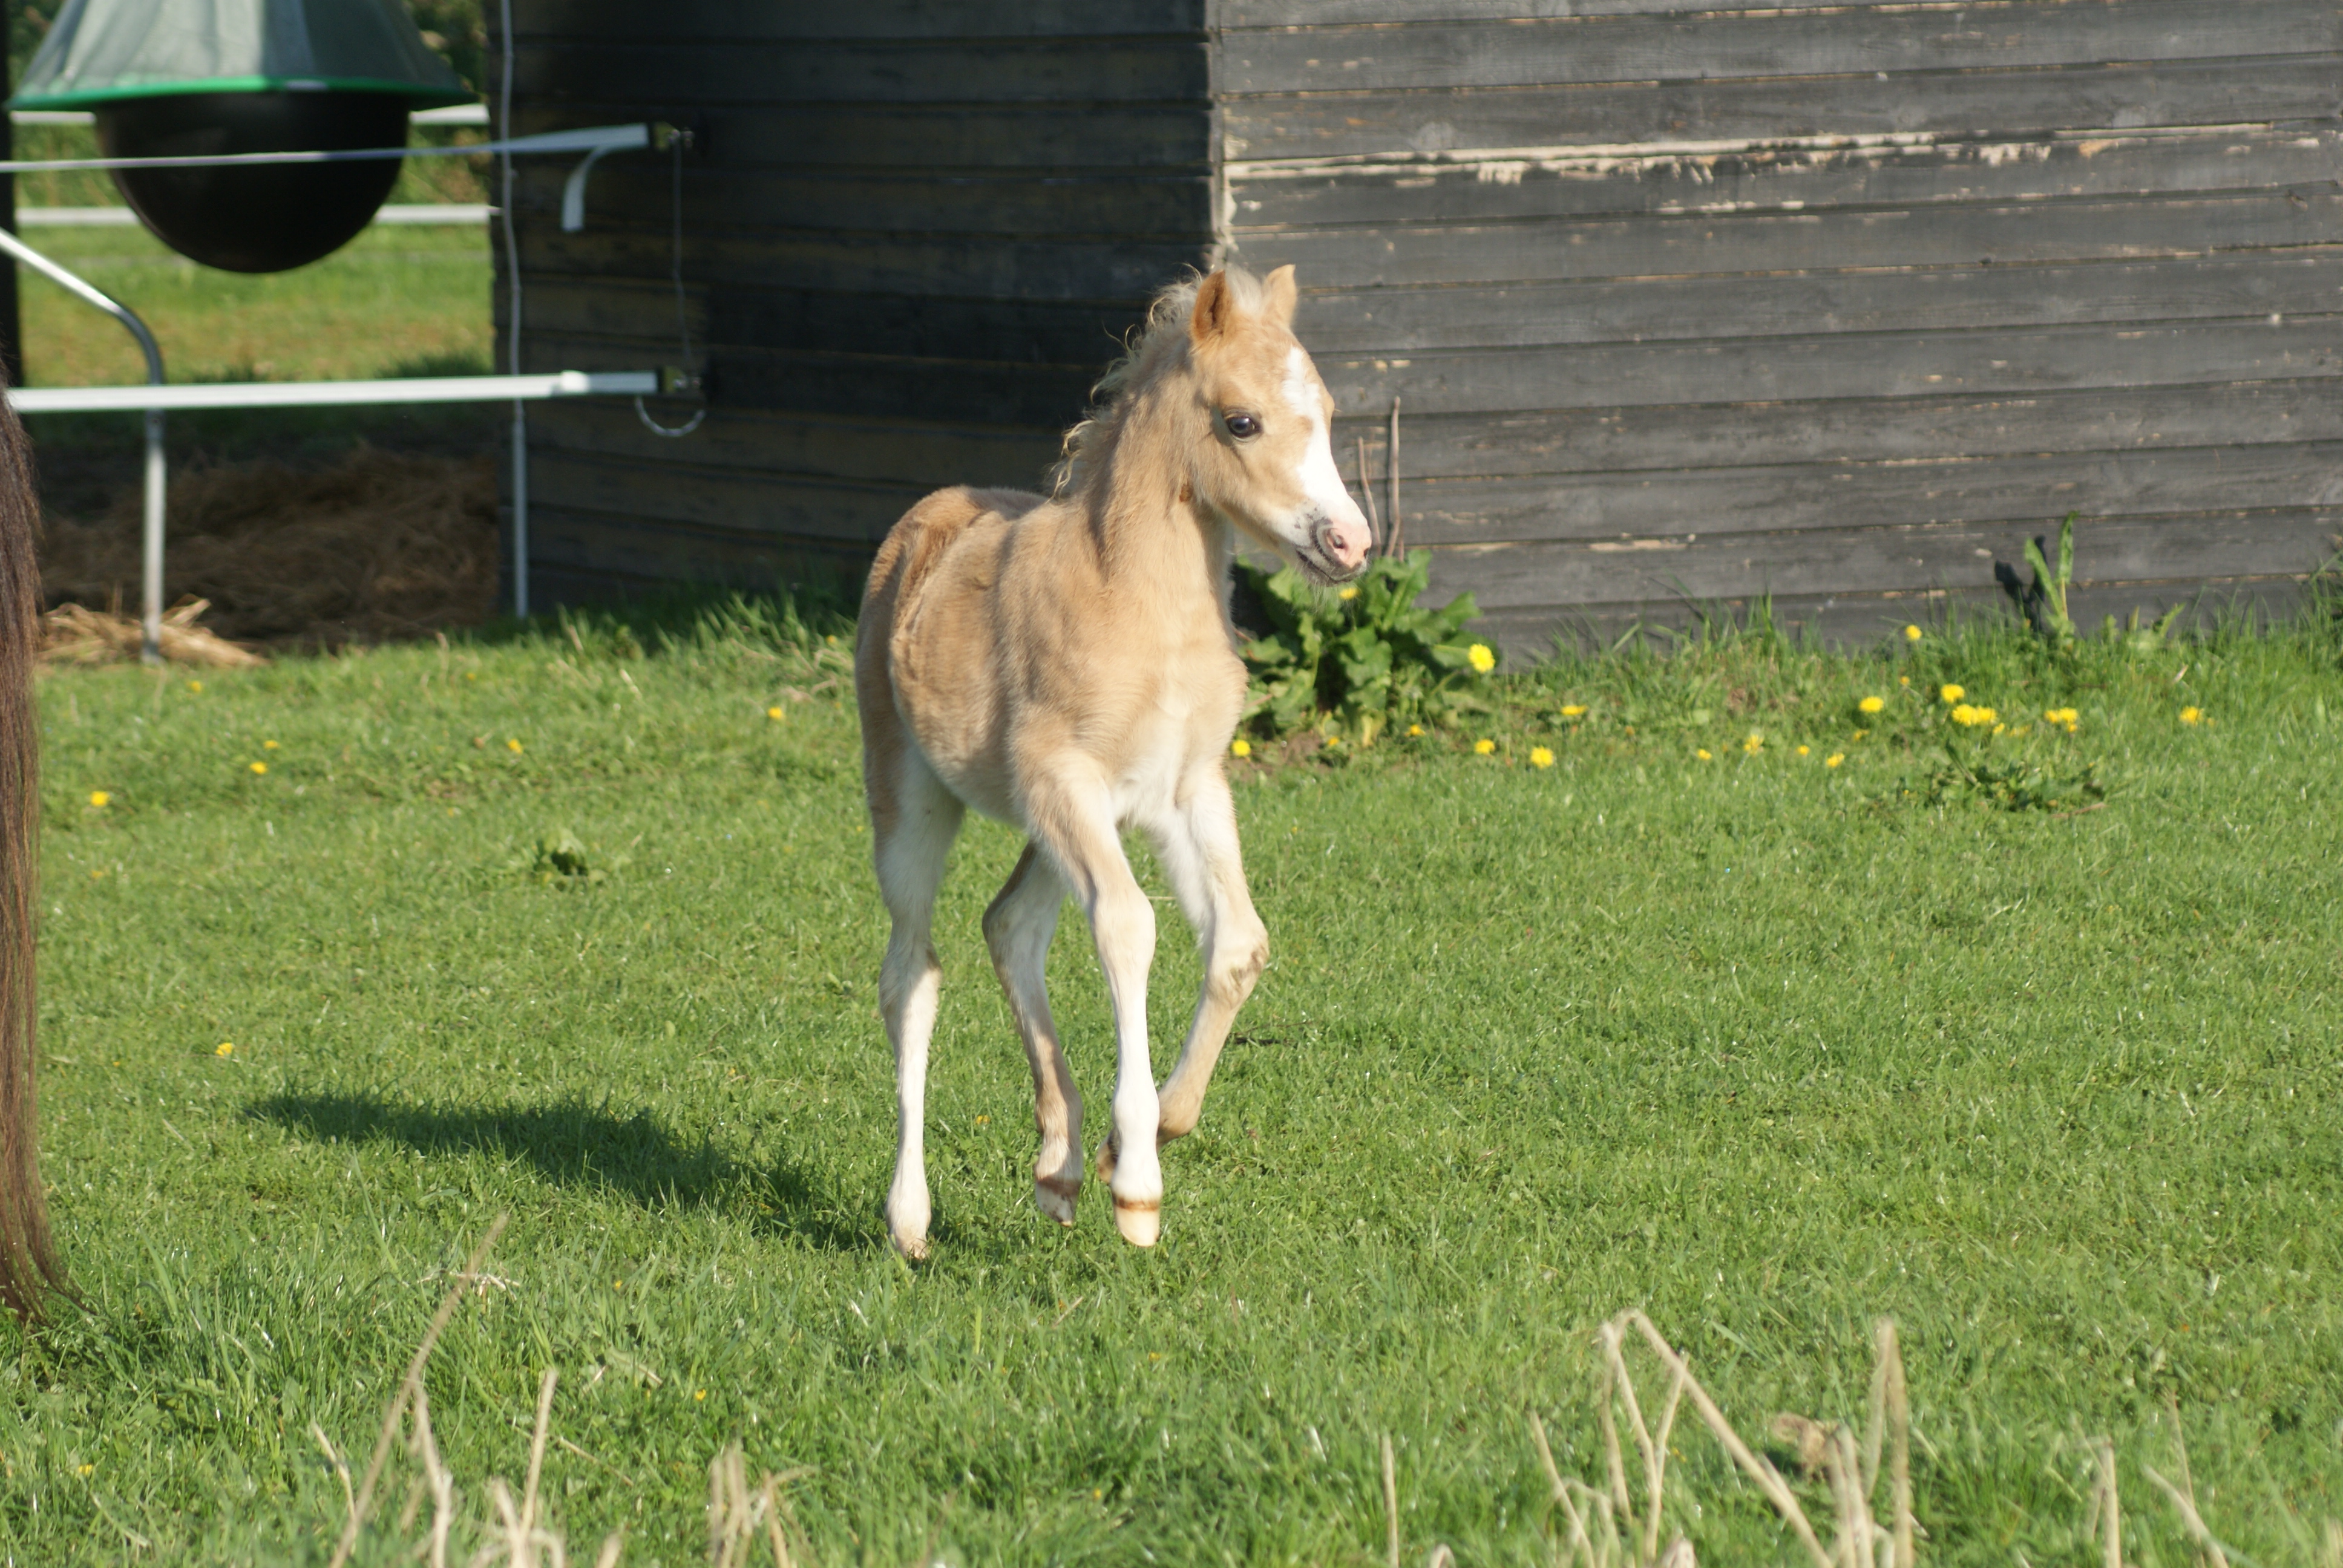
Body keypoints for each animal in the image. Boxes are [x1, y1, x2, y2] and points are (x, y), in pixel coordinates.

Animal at [855, 265, 1372, 1256]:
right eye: (1240, 421)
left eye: (1326, 412)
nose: (1348, 542)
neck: (1141, 605)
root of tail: (926, 513)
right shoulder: (1068, 780)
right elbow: (1130, 929)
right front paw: (1136, 1183)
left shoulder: (1186, 790)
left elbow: (1238, 942)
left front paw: (1151, 1128)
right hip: (917, 798)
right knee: (911, 974)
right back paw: (909, 1218)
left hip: (1056, 825)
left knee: (1010, 926)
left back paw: (1057, 1166)